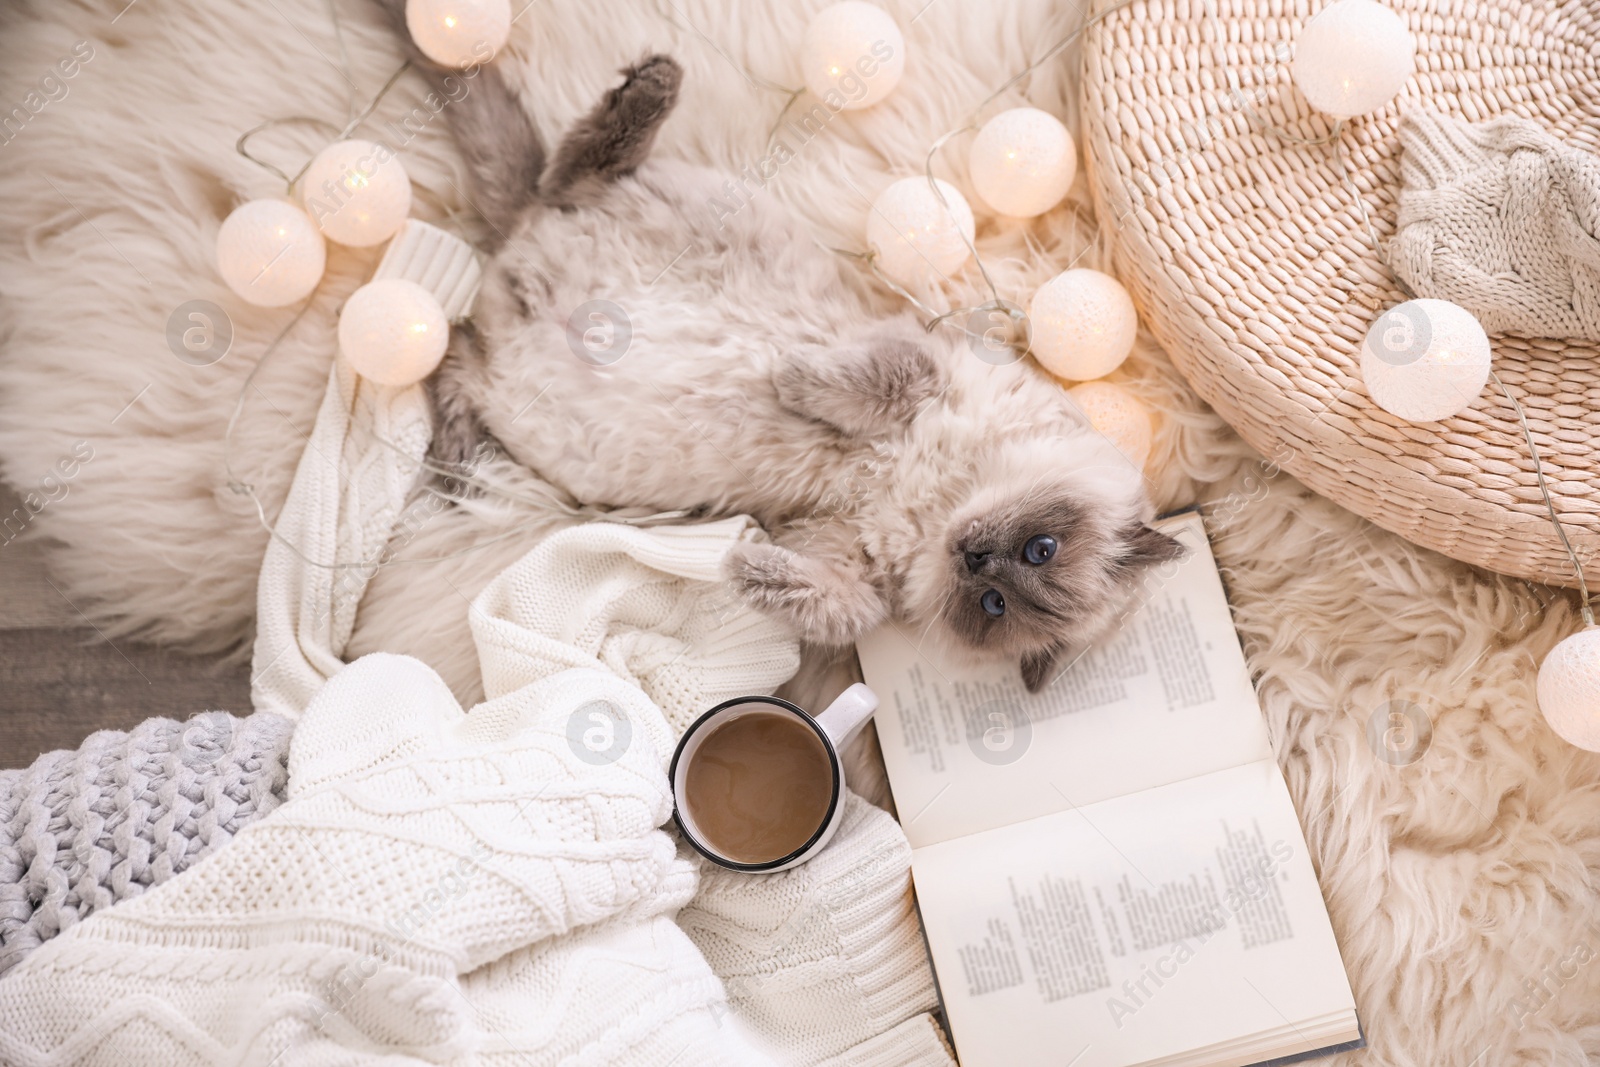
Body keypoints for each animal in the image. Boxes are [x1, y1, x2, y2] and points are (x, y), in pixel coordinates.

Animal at [368, 16, 1184, 697]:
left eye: (994, 603)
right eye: (1041, 548)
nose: (977, 558)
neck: (938, 502)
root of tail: (513, 251)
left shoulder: (844, 558)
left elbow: (832, 604)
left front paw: (740, 560)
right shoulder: (924, 361)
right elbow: (871, 378)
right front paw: (791, 378)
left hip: (519, 403)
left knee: (457, 350)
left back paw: (458, 457)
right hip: (644, 203)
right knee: (576, 168)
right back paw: (655, 83)